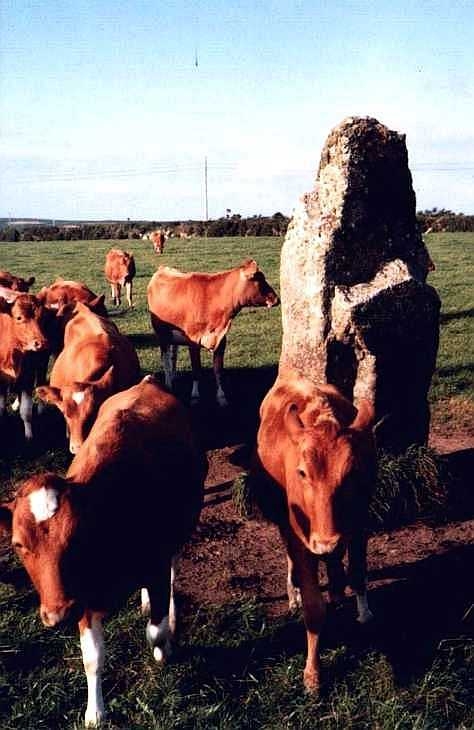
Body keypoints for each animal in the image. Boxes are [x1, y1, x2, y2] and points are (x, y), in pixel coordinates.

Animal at [0, 290, 49, 439]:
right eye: (19, 317)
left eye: (42, 316)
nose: (41, 343)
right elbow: (1, 405)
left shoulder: (28, 376)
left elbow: (26, 411)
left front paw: (29, 435)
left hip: (42, 365)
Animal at [0, 375, 206, 727]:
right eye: (18, 544)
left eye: (76, 535)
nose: (57, 615)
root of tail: (148, 382)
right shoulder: (80, 598)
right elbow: (92, 658)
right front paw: (95, 712)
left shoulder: (155, 564)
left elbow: (156, 630)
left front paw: (164, 650)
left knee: (174, 572)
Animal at [147, 259, 279, 406]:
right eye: (259, 279)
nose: (276, 299)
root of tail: (162, 269)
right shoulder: (193, 341)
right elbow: (196, 370)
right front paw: (195, 396)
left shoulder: (221, 340)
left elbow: (218, 370)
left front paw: (221, 397)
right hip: (161, 334)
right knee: (165, 358)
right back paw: (168, 383)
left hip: (173, 336)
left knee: (173, 355)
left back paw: (173, 375)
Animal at [250, 370, 376, 692]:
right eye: (302, 472)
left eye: (352, 472)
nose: (326, 543)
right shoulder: (300, 537)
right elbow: (314, 607)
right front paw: (312, 673)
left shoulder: (361, 522)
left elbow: (358, 572)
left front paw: (364, 612)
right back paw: (295, 593)